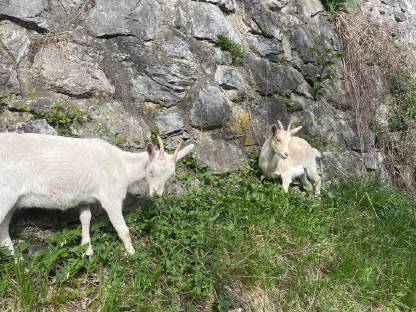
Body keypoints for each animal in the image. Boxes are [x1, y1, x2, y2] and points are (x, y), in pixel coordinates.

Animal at [0, 132, 194, 256]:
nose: (156, 194)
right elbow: (123, 229)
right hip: (5, 194)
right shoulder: (111, 197)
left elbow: (85, 218)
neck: (123, 165)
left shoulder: (83, 198)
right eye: (151, 171)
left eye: (171, 176)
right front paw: (132, 255)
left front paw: (87, 250)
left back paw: (16, 260)